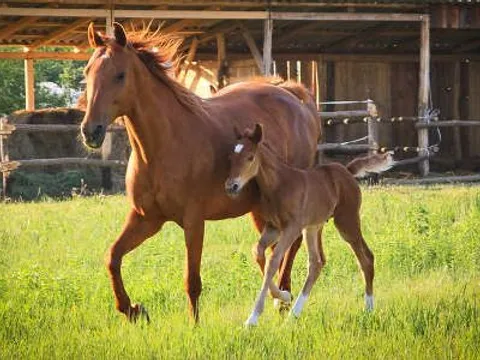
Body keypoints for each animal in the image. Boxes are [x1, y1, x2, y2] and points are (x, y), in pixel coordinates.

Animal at [227, 124, 392, 326]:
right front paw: (284, 296)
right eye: (230, 158)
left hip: (346, 221)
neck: (280, 185)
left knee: (366, 258)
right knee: (316, 262)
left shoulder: (291, 228)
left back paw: (368, 309)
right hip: (313, 227)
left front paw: (252, 318)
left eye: (250, 157)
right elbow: (257, 251)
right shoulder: (274, 227)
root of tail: (347, 171)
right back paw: (294, 314)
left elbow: (273, 261)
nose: (231, 186)